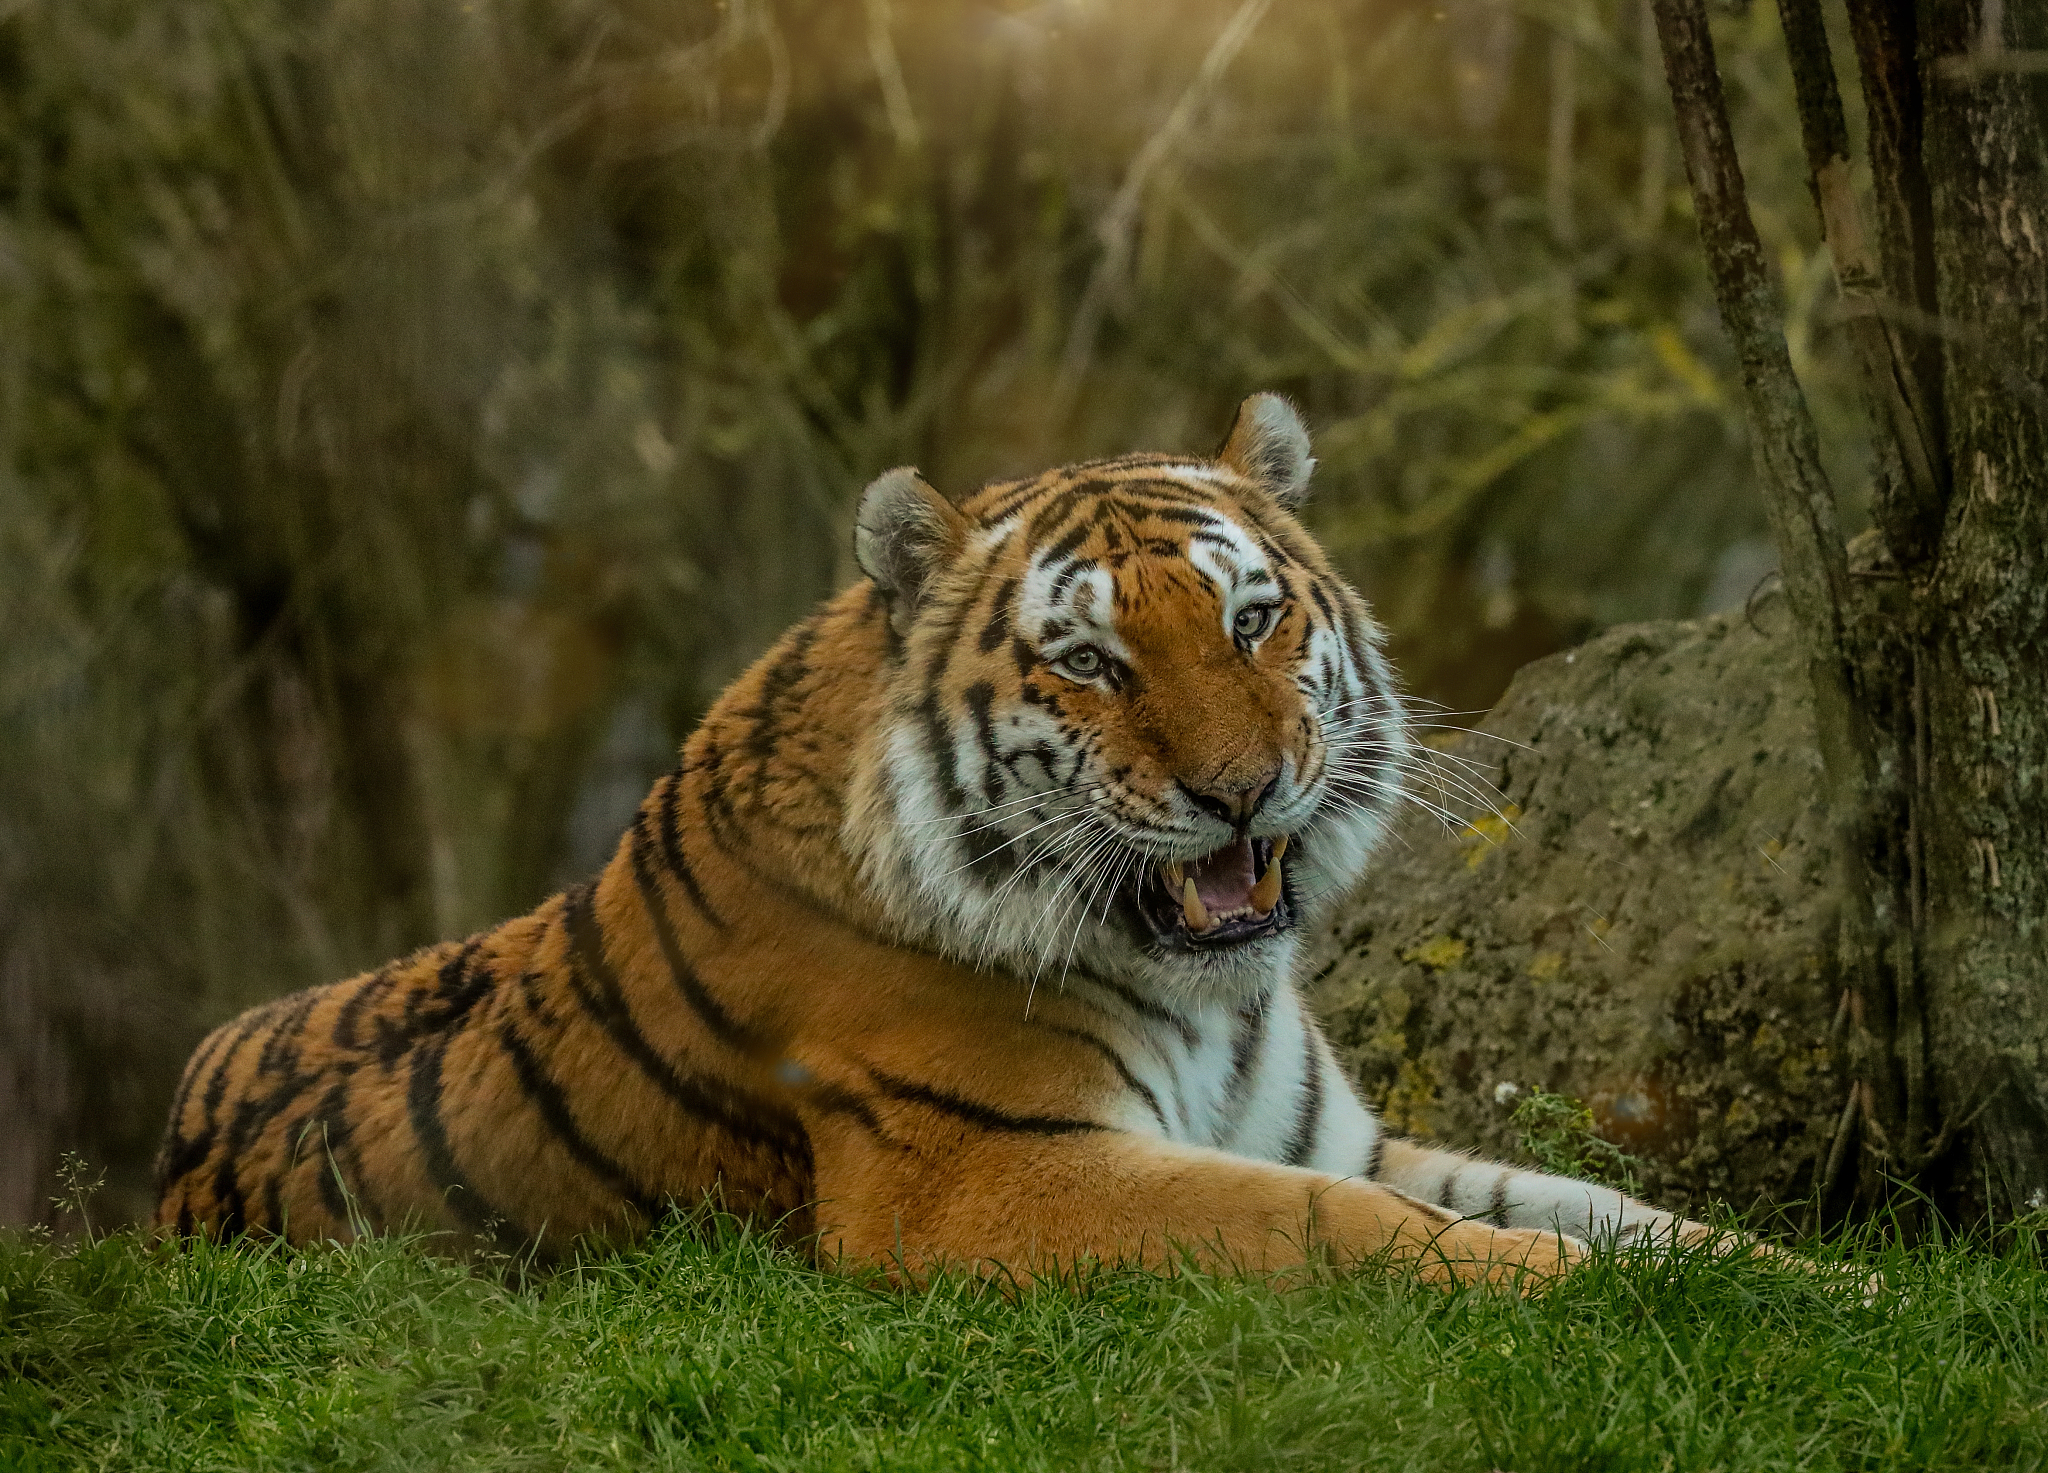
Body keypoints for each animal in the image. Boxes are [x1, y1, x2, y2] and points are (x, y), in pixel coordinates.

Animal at [155, 394, 1756, 1290]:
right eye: (1092, 664)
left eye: (1251, 621)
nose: (1243, 792)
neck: (1213, 996)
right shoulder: (989, 1177)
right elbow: (1340, 1232)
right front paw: (1596, 1301)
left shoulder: (1344, 1138)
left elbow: (1621, 1210)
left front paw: (1788, 1284)